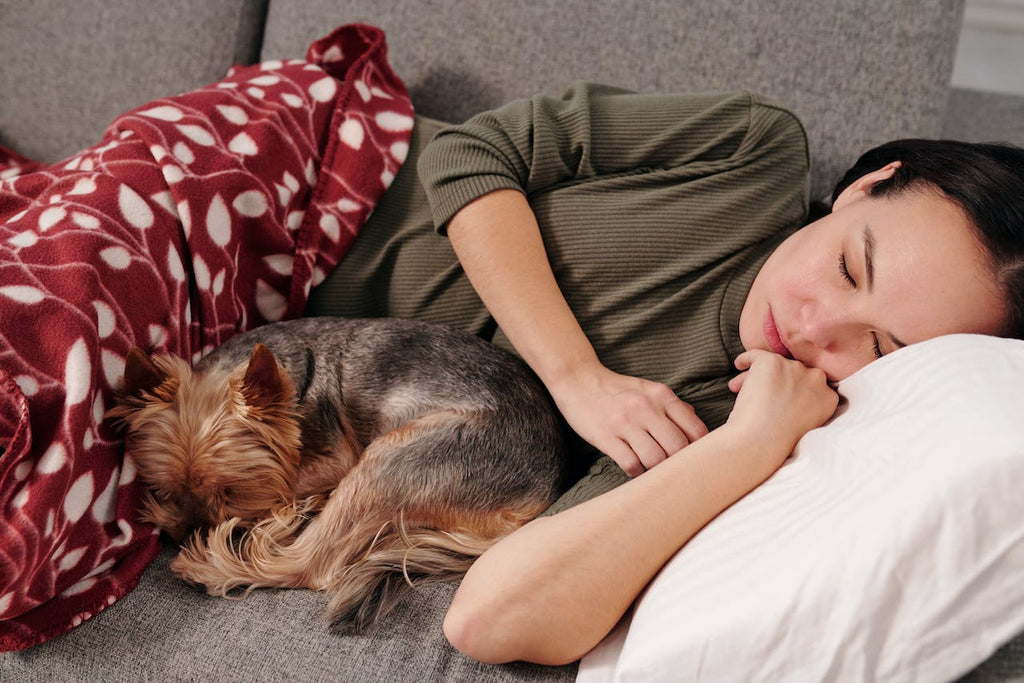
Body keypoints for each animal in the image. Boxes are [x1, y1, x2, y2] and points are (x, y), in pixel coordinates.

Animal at [109, 319, 573, 630]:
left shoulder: (336, 456)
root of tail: (540, 493)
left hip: (397, 457)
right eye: (165, 489)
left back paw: (211, 566)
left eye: (231, 492)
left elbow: (287, 489)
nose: (185, 533)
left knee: (308, 565)